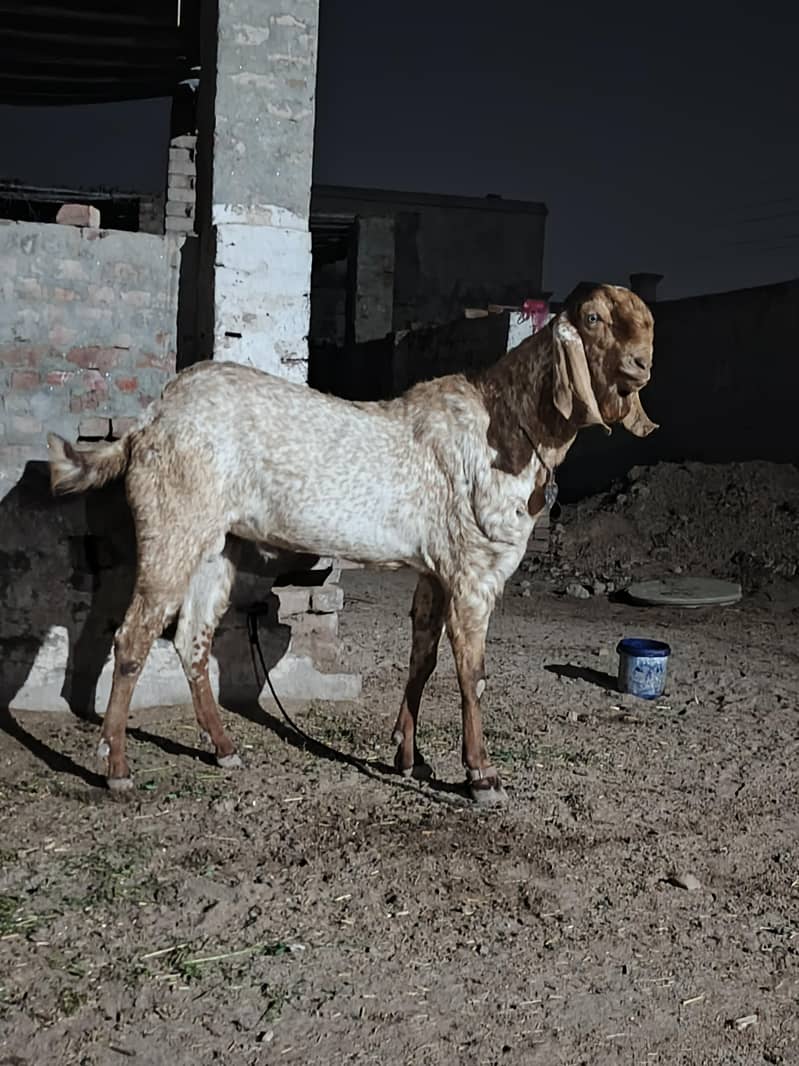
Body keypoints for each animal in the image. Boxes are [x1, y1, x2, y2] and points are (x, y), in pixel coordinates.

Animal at [48, 283, 657, 804]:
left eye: (647, 323)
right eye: (594, 319)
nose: (641, 365)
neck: (506, 425)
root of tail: (148, 422)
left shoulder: (435, 569)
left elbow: (422, 659)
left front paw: (408, 758)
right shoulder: (473, 571)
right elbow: (472, 674)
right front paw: (481, 775)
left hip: (214, 544)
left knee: (191, 640)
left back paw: (224, 750)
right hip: (172, 526)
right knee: (131, 638)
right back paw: (116, 768)